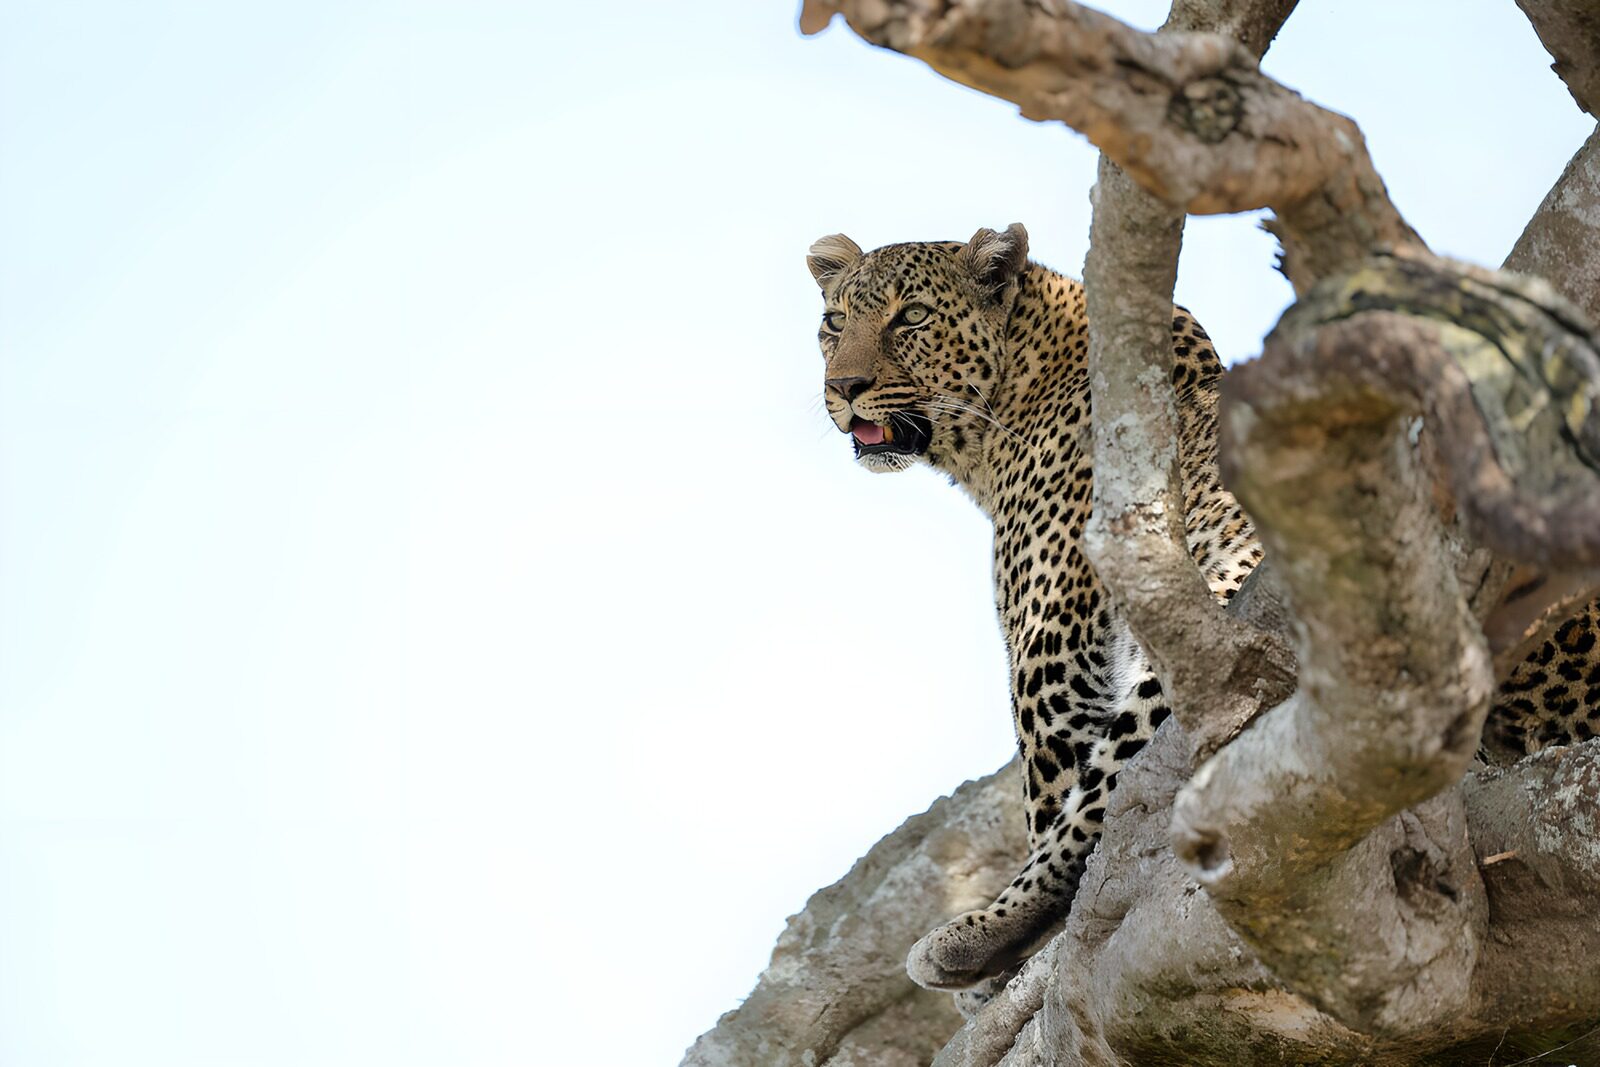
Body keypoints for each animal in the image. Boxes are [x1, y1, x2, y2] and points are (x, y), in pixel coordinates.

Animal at [804, 222, 1600, 992]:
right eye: (834, 321)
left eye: (911, 316)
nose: (844, 386)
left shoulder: (1053, 658)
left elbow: (1054, 802)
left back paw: (969, 942)